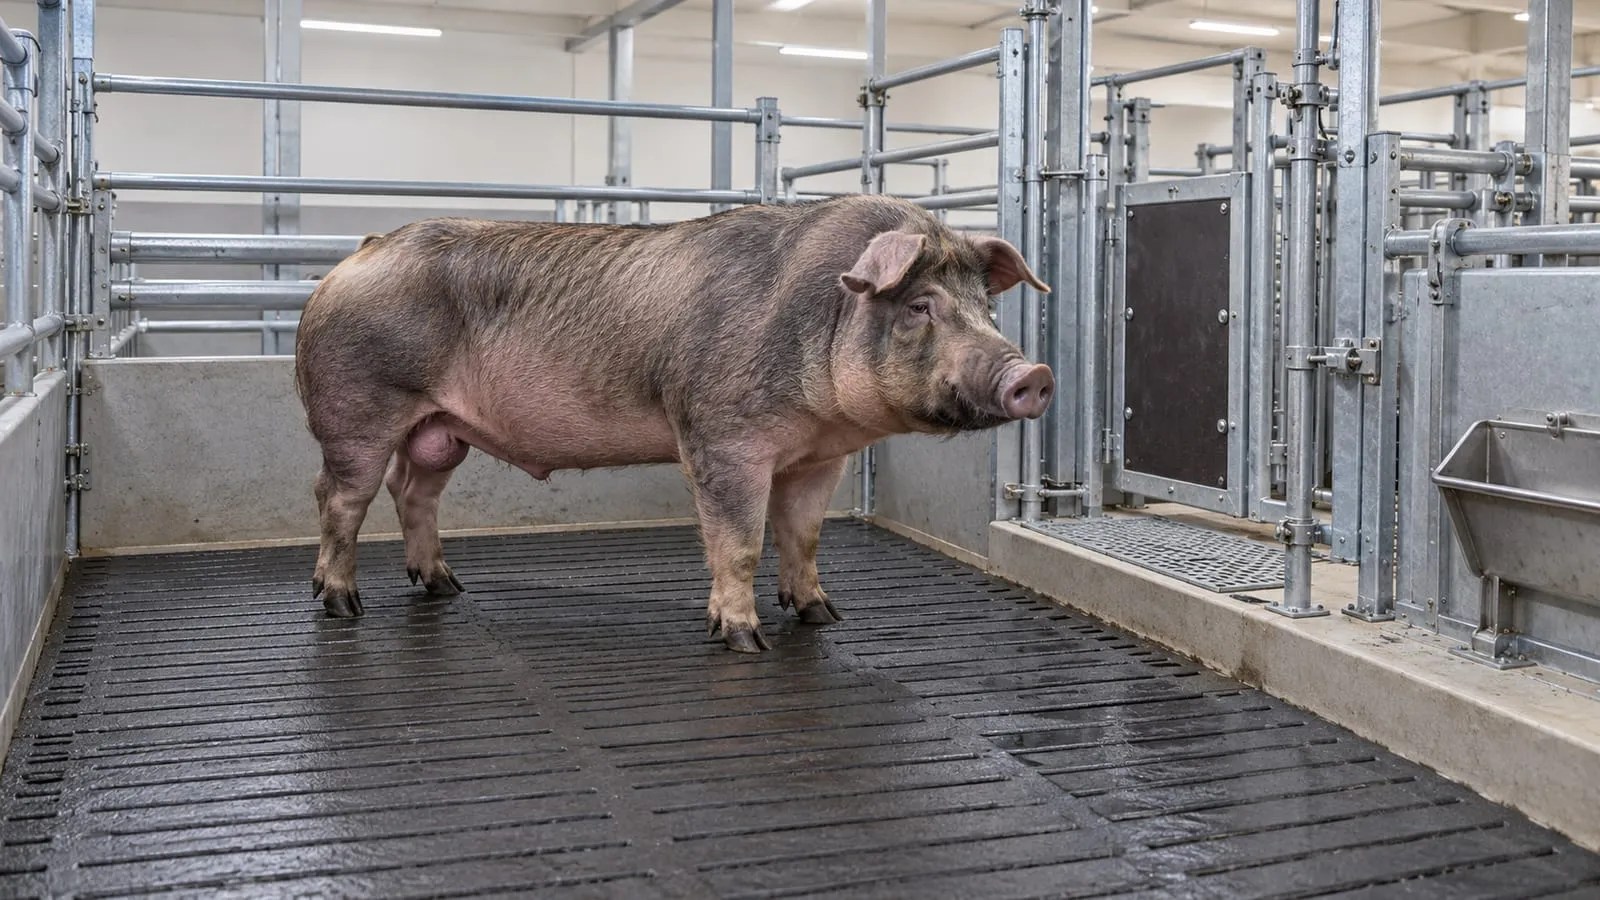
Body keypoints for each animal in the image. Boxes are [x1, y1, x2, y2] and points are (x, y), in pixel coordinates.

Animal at [293, 193, 1054, 653]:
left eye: (986, 306)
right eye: (921, 305)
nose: (1034, 375)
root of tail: (355, 255)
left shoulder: (821, 456)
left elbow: (803, 536)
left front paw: (822, 615)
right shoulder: (723, 438)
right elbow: (740, 541)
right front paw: (745, 640)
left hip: (440, 430)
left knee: (412, 492)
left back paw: (445, 585)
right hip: (356, 408)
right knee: (339, 498)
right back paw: (342, 605)